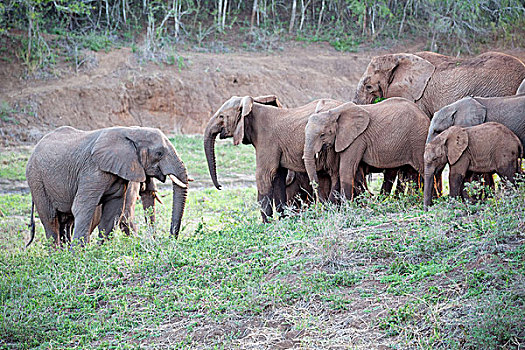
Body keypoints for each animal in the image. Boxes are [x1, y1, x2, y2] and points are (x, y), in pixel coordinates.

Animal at [26, 126, 189, 246]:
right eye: (159, 153)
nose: (170, 239)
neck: (131, 131)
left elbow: (114, 210)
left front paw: (101, 250)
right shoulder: (93, 171)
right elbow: (83, 207)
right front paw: (78, 255)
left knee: (64, 221)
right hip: (36, 180)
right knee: (50, 218)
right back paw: (57, 256)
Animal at [203, 95, 342, 221]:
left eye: (221, 116)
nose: (220, 186)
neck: (251, 108)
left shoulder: (267, 140)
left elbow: (264, 175)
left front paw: (266, 224)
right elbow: (278, 176)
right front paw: (283, 221)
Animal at [302, 98, 430, 200]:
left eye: (322, 135)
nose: (322, 202)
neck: (334, 112)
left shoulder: (357, 139)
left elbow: (346, 169)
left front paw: (347, 206)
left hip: (418, 139)